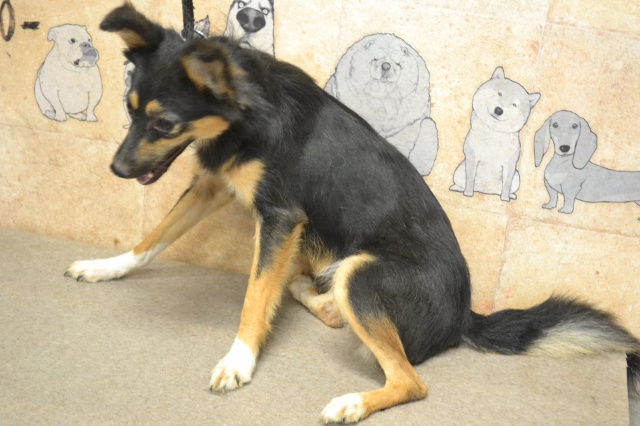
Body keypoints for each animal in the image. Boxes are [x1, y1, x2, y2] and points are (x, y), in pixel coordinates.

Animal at [450, 67, 540, 201]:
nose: (499, 110)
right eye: (499, 94)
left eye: (514, 104)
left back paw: (510, 195)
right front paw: (468, 193)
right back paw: (458, 188)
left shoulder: (509, 165)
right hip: (459, 169)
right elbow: (470, 178)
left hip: (517, 177)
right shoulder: (472, 157)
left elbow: (506, 184)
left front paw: (505, 198)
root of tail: (485, 191)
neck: (493, 133)